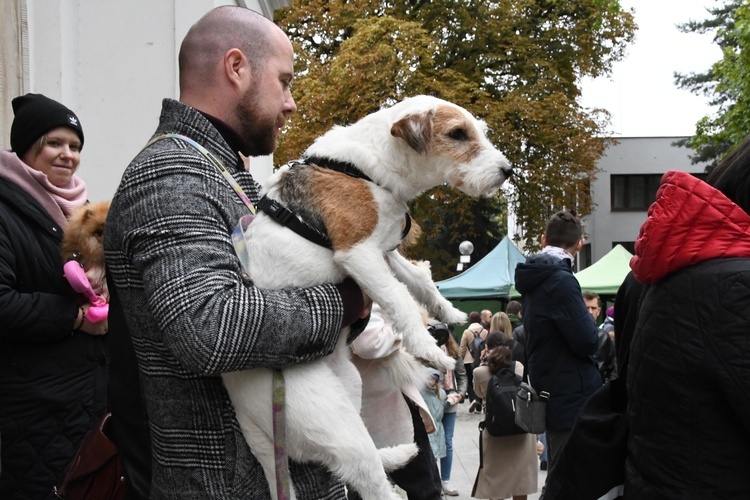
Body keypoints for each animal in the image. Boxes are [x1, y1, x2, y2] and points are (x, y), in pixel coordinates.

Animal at [223, 94, 516, 500]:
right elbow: (399, 298)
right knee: (368, 478)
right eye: (458, 133)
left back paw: (398, 453)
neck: (371, 169)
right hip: (333, 423)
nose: (508, 171)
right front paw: (429, 349)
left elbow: (419, 281)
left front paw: (449, 311)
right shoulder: (359, 253)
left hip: (350, 387)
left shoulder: (385, 252)